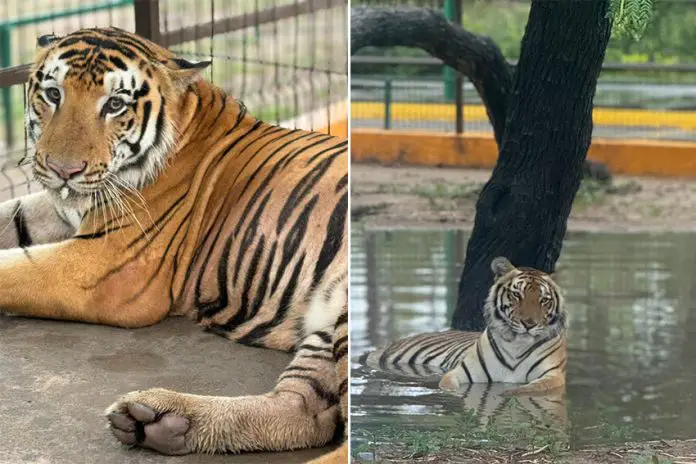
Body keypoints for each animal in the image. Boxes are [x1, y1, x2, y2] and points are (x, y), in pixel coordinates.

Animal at [0, 27, 348, 462]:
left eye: (115, 104)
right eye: (53, 94)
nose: (64, 170)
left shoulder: (103, 268)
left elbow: (11, 269)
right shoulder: (60, 212)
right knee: (306, 409)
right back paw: (160, 420)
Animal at [362, 256, 568, 396]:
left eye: (544, 300)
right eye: (517, 295)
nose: (529, 324)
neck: (517, 344)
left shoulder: (553, 375)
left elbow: (529, 388)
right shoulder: (463, 373)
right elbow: (448, 385)